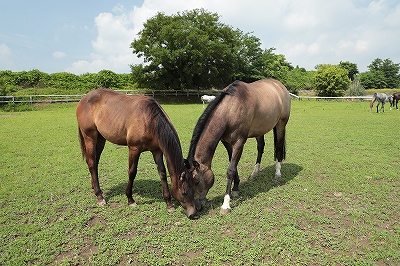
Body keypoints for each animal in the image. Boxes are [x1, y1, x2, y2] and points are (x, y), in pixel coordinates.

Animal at [76, 88, 198, 219]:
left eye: (194, 189)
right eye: (184, 192)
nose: (193, 214)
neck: (149, 119)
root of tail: (84, 99)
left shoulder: (157, 151)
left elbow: (162, 173)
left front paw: (169, 204)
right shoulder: (134, 149)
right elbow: (132, 172)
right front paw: (130, 200)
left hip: (100, 139)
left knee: (95, 161)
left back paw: (94, 187)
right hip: (90, 137)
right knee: (92, 163)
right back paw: (100, 197)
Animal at [188, 79, 290, 214]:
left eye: (197, 181)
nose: (196, 207)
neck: (231, 109)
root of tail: (280, 85)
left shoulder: (239, 143)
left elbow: (231, 170)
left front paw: (226, 204)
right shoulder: (226, 142)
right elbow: (233, 165)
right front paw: (236, 188)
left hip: (281, 125)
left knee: (278, 147)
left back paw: (277, 173)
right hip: (260, 130)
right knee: (260, 147)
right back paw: (255, 173)